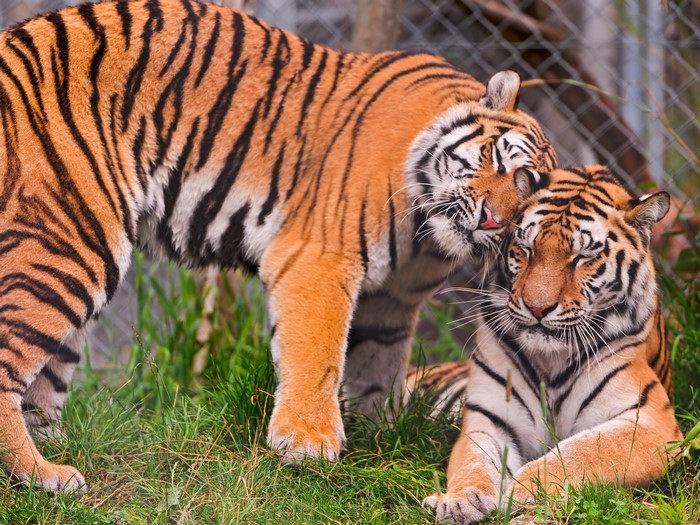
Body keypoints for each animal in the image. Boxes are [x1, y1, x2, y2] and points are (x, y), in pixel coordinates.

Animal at [0, 0, 557, 493]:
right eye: (501, 162)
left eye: (526, 203)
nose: (491, 219)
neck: (425, 238)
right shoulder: (320, 258)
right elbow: (319, 353)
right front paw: (308, 443)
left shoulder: (392, 303)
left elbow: (377, 368)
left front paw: (382, 438)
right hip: (68, 240)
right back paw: (42, 475)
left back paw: (57, 453)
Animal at [418, 165, 682, 524]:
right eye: (526, 248)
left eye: (583, 257)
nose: (537, 308)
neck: (551, 361)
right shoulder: (488, 416)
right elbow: (474, 462)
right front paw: (460, 500)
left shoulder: (650, 421)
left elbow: (578, 454)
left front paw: (520, 491)